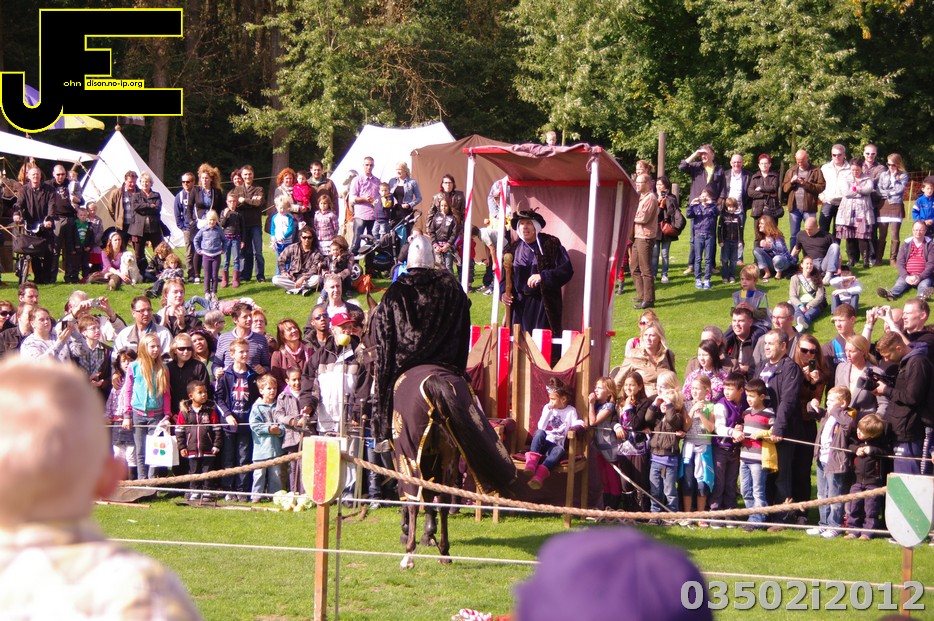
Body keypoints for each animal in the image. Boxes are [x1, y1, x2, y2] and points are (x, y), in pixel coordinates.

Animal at [389, 364, 515, 569]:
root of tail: (432, 383)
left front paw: (410, 532)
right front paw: (429, 534)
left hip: (408, 453)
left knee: (414, 499)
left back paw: (409, 556)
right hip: (449, 457)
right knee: (443, 499)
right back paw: (444, 552)